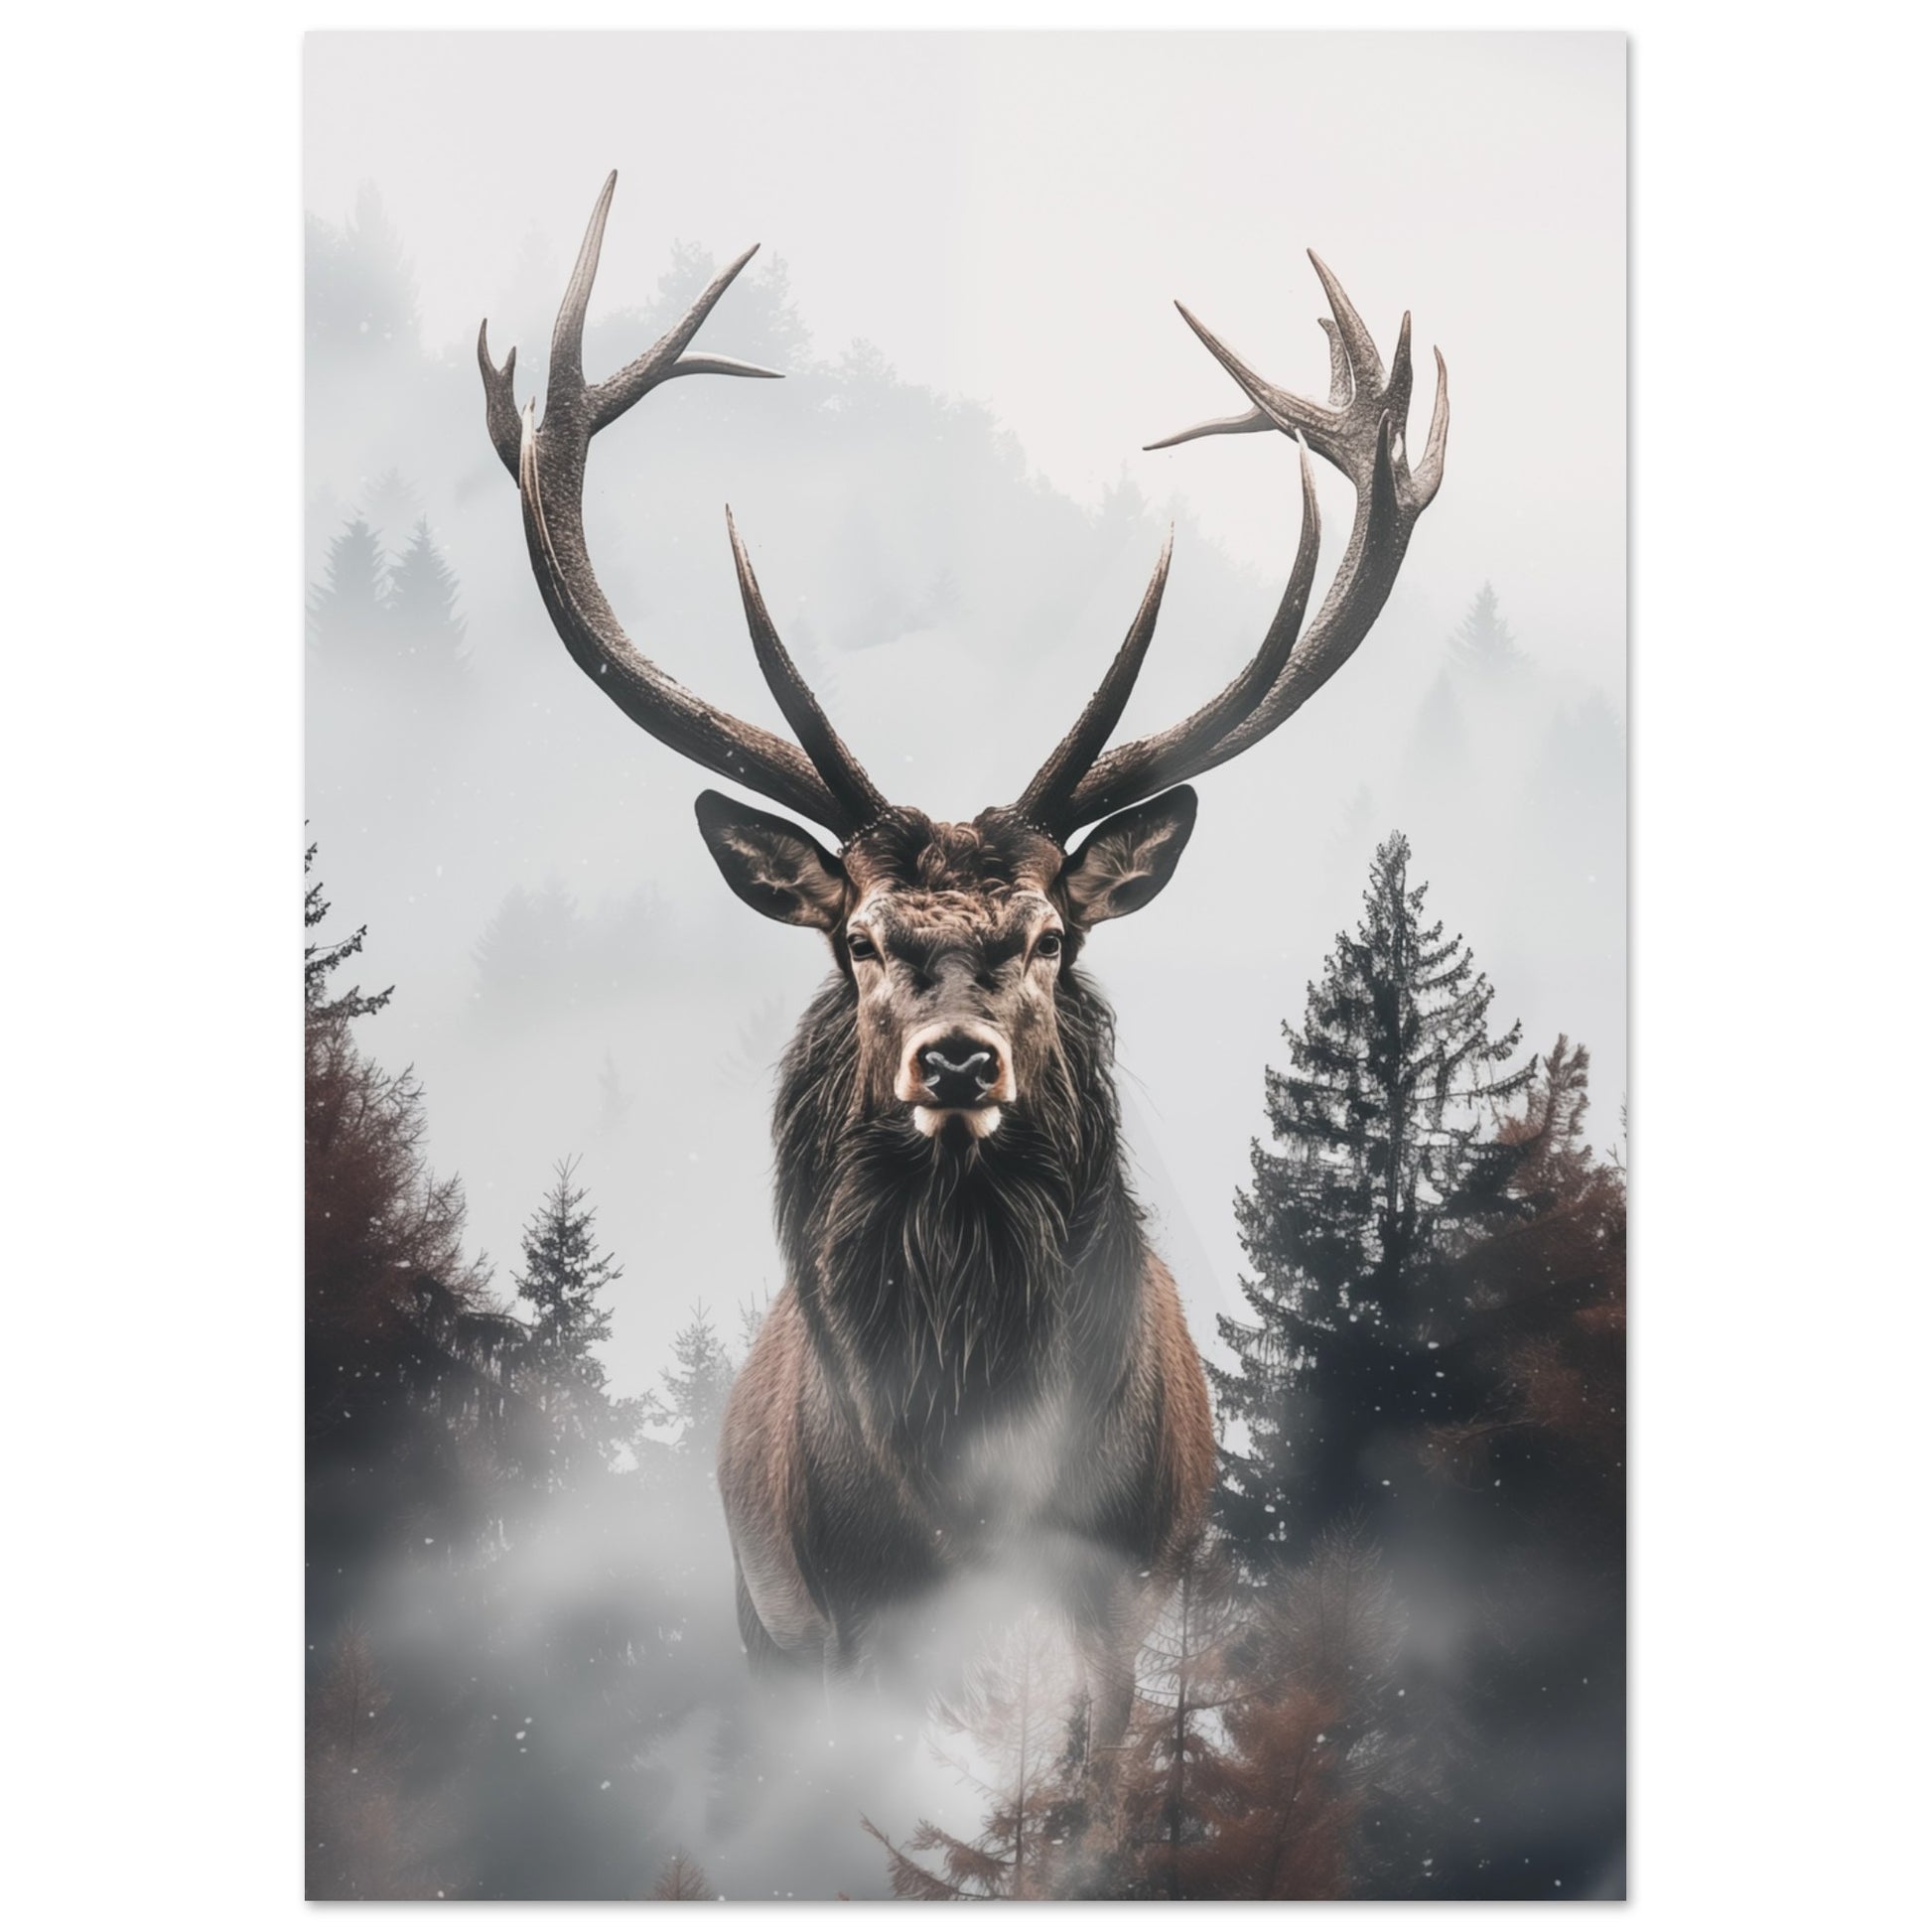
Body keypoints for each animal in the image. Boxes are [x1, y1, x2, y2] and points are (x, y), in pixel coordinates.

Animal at [478, 175, 1447, 1755]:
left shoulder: (1127, 1591)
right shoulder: (834, 1612)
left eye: (1048, 934)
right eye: (862, 936)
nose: (953, 1057)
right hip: (757, 1614)